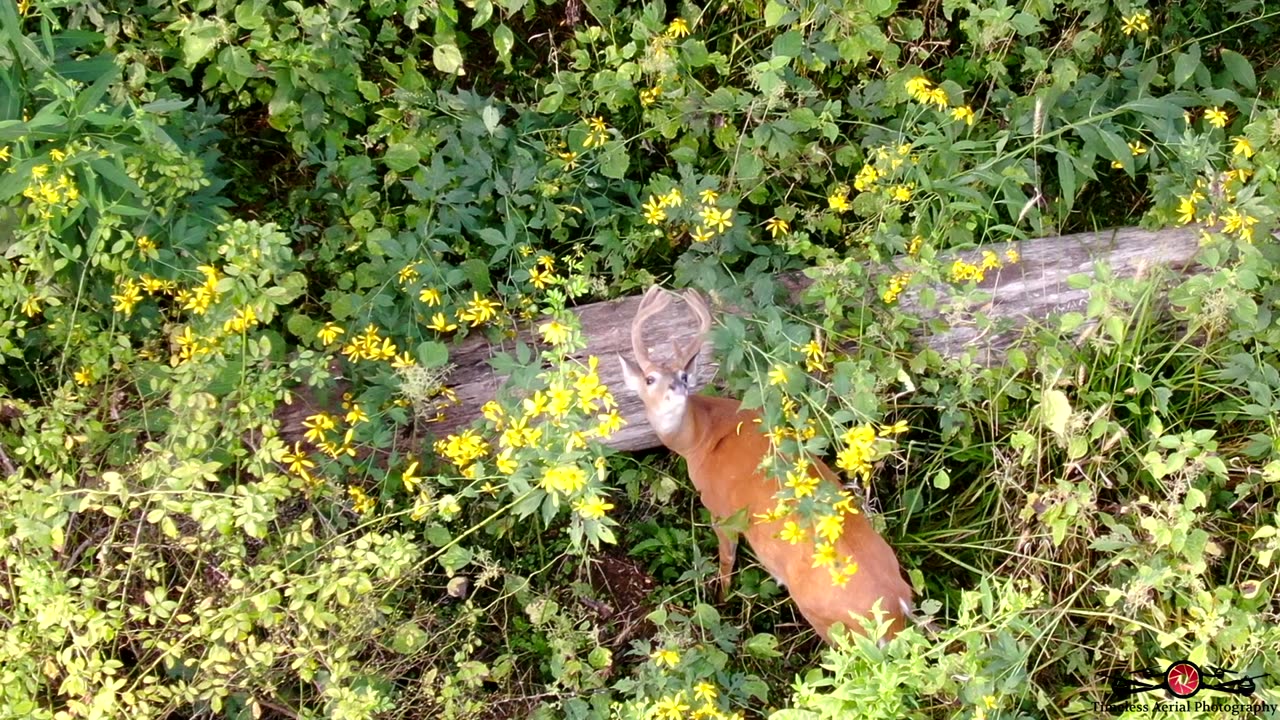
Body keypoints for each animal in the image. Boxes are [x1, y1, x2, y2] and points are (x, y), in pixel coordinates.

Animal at [616, 283, 911, 640]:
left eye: (685, 374)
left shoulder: (721, 509)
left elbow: (727, 560)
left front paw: (722, 600)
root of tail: (897, 605)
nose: (678, 386)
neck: (701, 437)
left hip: (827, 619)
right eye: (650, 379)